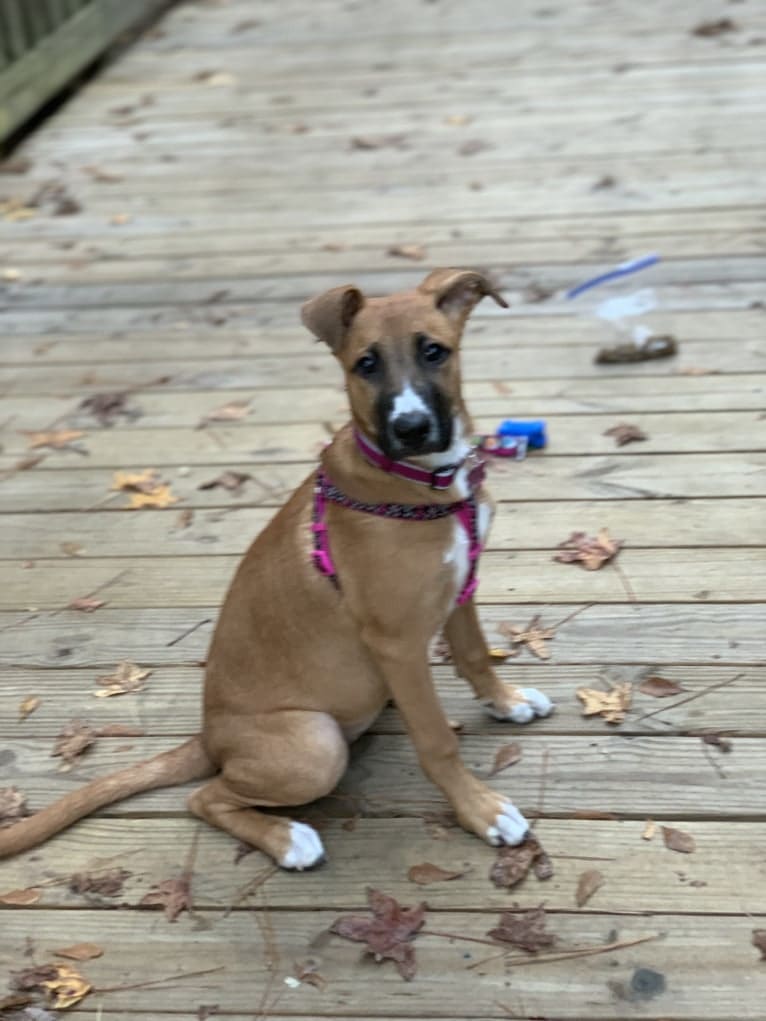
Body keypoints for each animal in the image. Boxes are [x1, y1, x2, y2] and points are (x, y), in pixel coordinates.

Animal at [0, 271, 551, 869]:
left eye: (434, 351)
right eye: (365, 364)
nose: (411, 428)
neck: (420, 481)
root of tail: (208, 737)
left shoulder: (460, 587)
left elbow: (475, 655)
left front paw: (508, 702)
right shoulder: (397, 642)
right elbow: (436, 741)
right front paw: (481, 810)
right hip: (315, 744)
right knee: (204, 797)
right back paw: (287, 839)